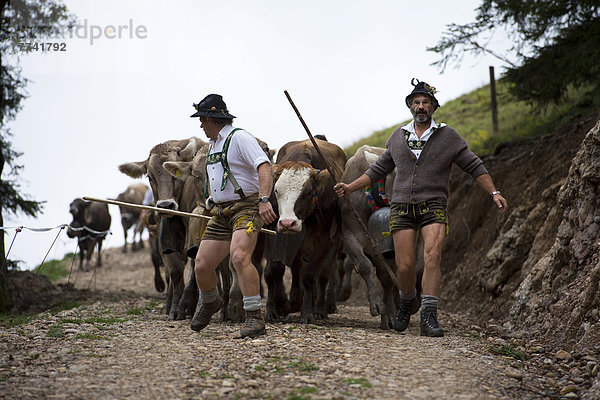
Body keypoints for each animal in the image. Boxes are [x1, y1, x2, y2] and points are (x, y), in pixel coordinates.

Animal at [118, 137, 205, 318]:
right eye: (150, 177)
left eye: (174, 176)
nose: (166, 205)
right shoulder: (166, 239)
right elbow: (175, 271)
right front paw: (175, 307)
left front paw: (187, 304)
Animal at [264, 139, 344, 324]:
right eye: (276, 190)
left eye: (307, 191)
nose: (288, 223)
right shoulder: (274, 232)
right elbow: (274, 269)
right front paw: (276, 308)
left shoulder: (322, 239)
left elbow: (309, 277)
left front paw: (307, 313)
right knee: (296, 267)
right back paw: (295, 301)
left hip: (335, 242)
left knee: (323, 274)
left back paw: (319, 308)